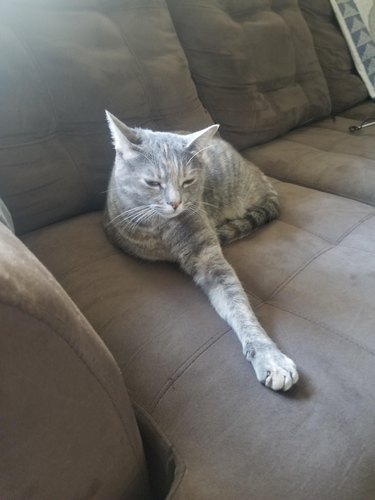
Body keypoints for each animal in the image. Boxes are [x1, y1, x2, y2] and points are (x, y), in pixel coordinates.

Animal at [103, 112, 300, 390]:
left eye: (188, 181)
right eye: (153, 182)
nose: (175, 203)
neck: (162, 228)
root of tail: (256, 170)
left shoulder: (209, 259)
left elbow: (241, 308)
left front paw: (269, 356)